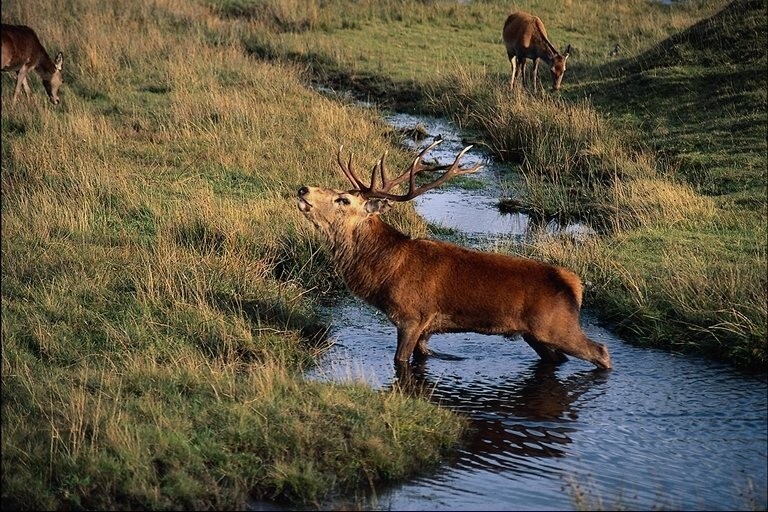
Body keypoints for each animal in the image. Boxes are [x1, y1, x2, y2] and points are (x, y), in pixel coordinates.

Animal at [296, 139, 612, 372]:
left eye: (343, 199)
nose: (303, 189)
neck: (385, 272)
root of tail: (575, 285)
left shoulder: (412, 316)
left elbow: (399, 361)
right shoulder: (426, 328)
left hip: (556, 326)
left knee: (601, 350)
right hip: (535, 335)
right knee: (559, 358)